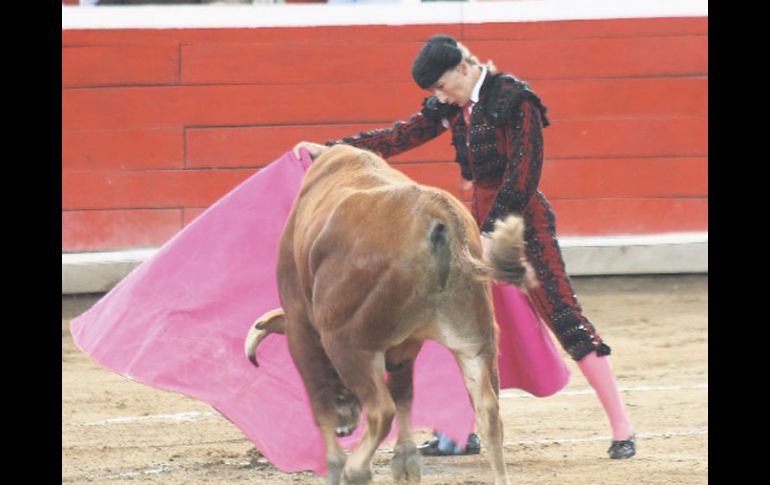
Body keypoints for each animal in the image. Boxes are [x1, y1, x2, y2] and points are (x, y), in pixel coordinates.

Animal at [246, 145, 528, 484]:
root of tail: (435, 209)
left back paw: (355, 469)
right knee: (488, 412)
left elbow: (320, 401)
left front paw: (337, 466)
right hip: (475, 341)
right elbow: (404, 391)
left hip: (347, 343)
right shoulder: (405, 345)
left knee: (381, 410)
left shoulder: (301, 328)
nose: (345, 429)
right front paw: (405, 461)